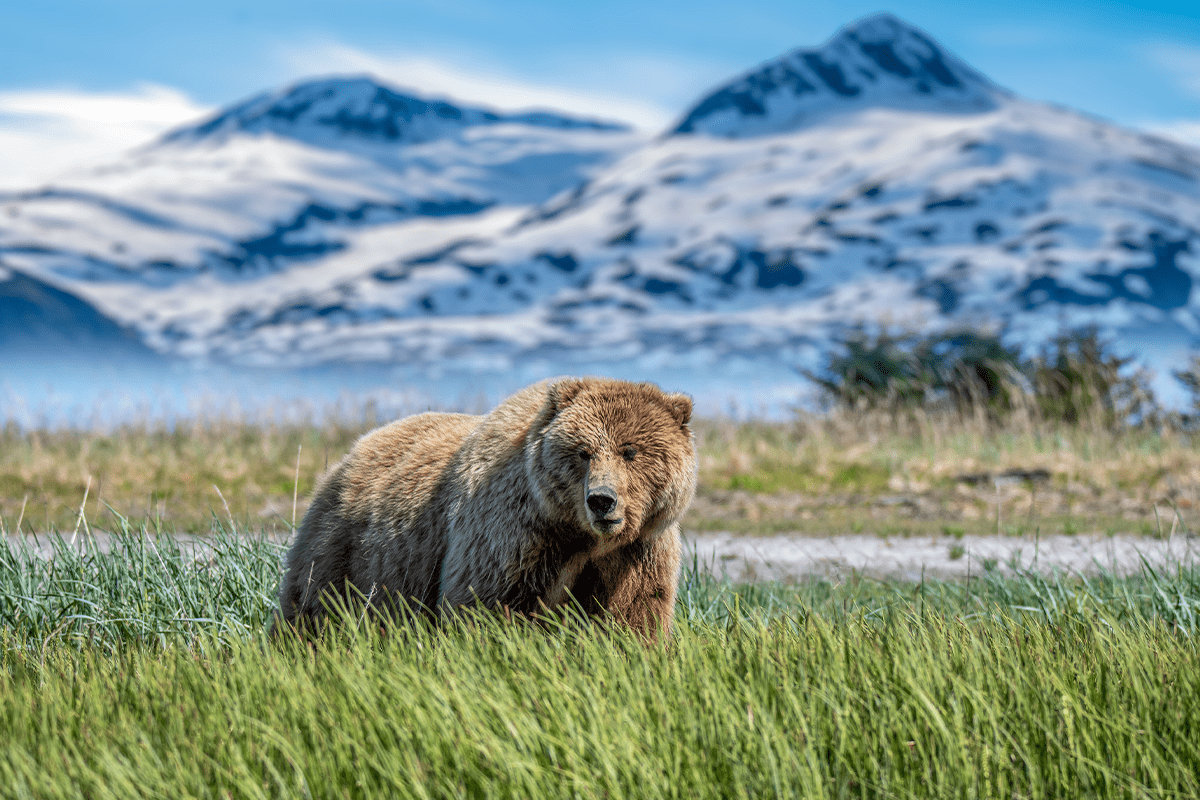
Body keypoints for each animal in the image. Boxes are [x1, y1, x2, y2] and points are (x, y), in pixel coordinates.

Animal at [273, 374, 700, 638]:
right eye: (583, 452)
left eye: (631, 451)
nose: (601, 501)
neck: (578, 537)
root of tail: (355, 449)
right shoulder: (512, 536)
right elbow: (487, 605)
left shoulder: (637, 551)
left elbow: (632, 614)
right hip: (351, 552)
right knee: (312, 606)